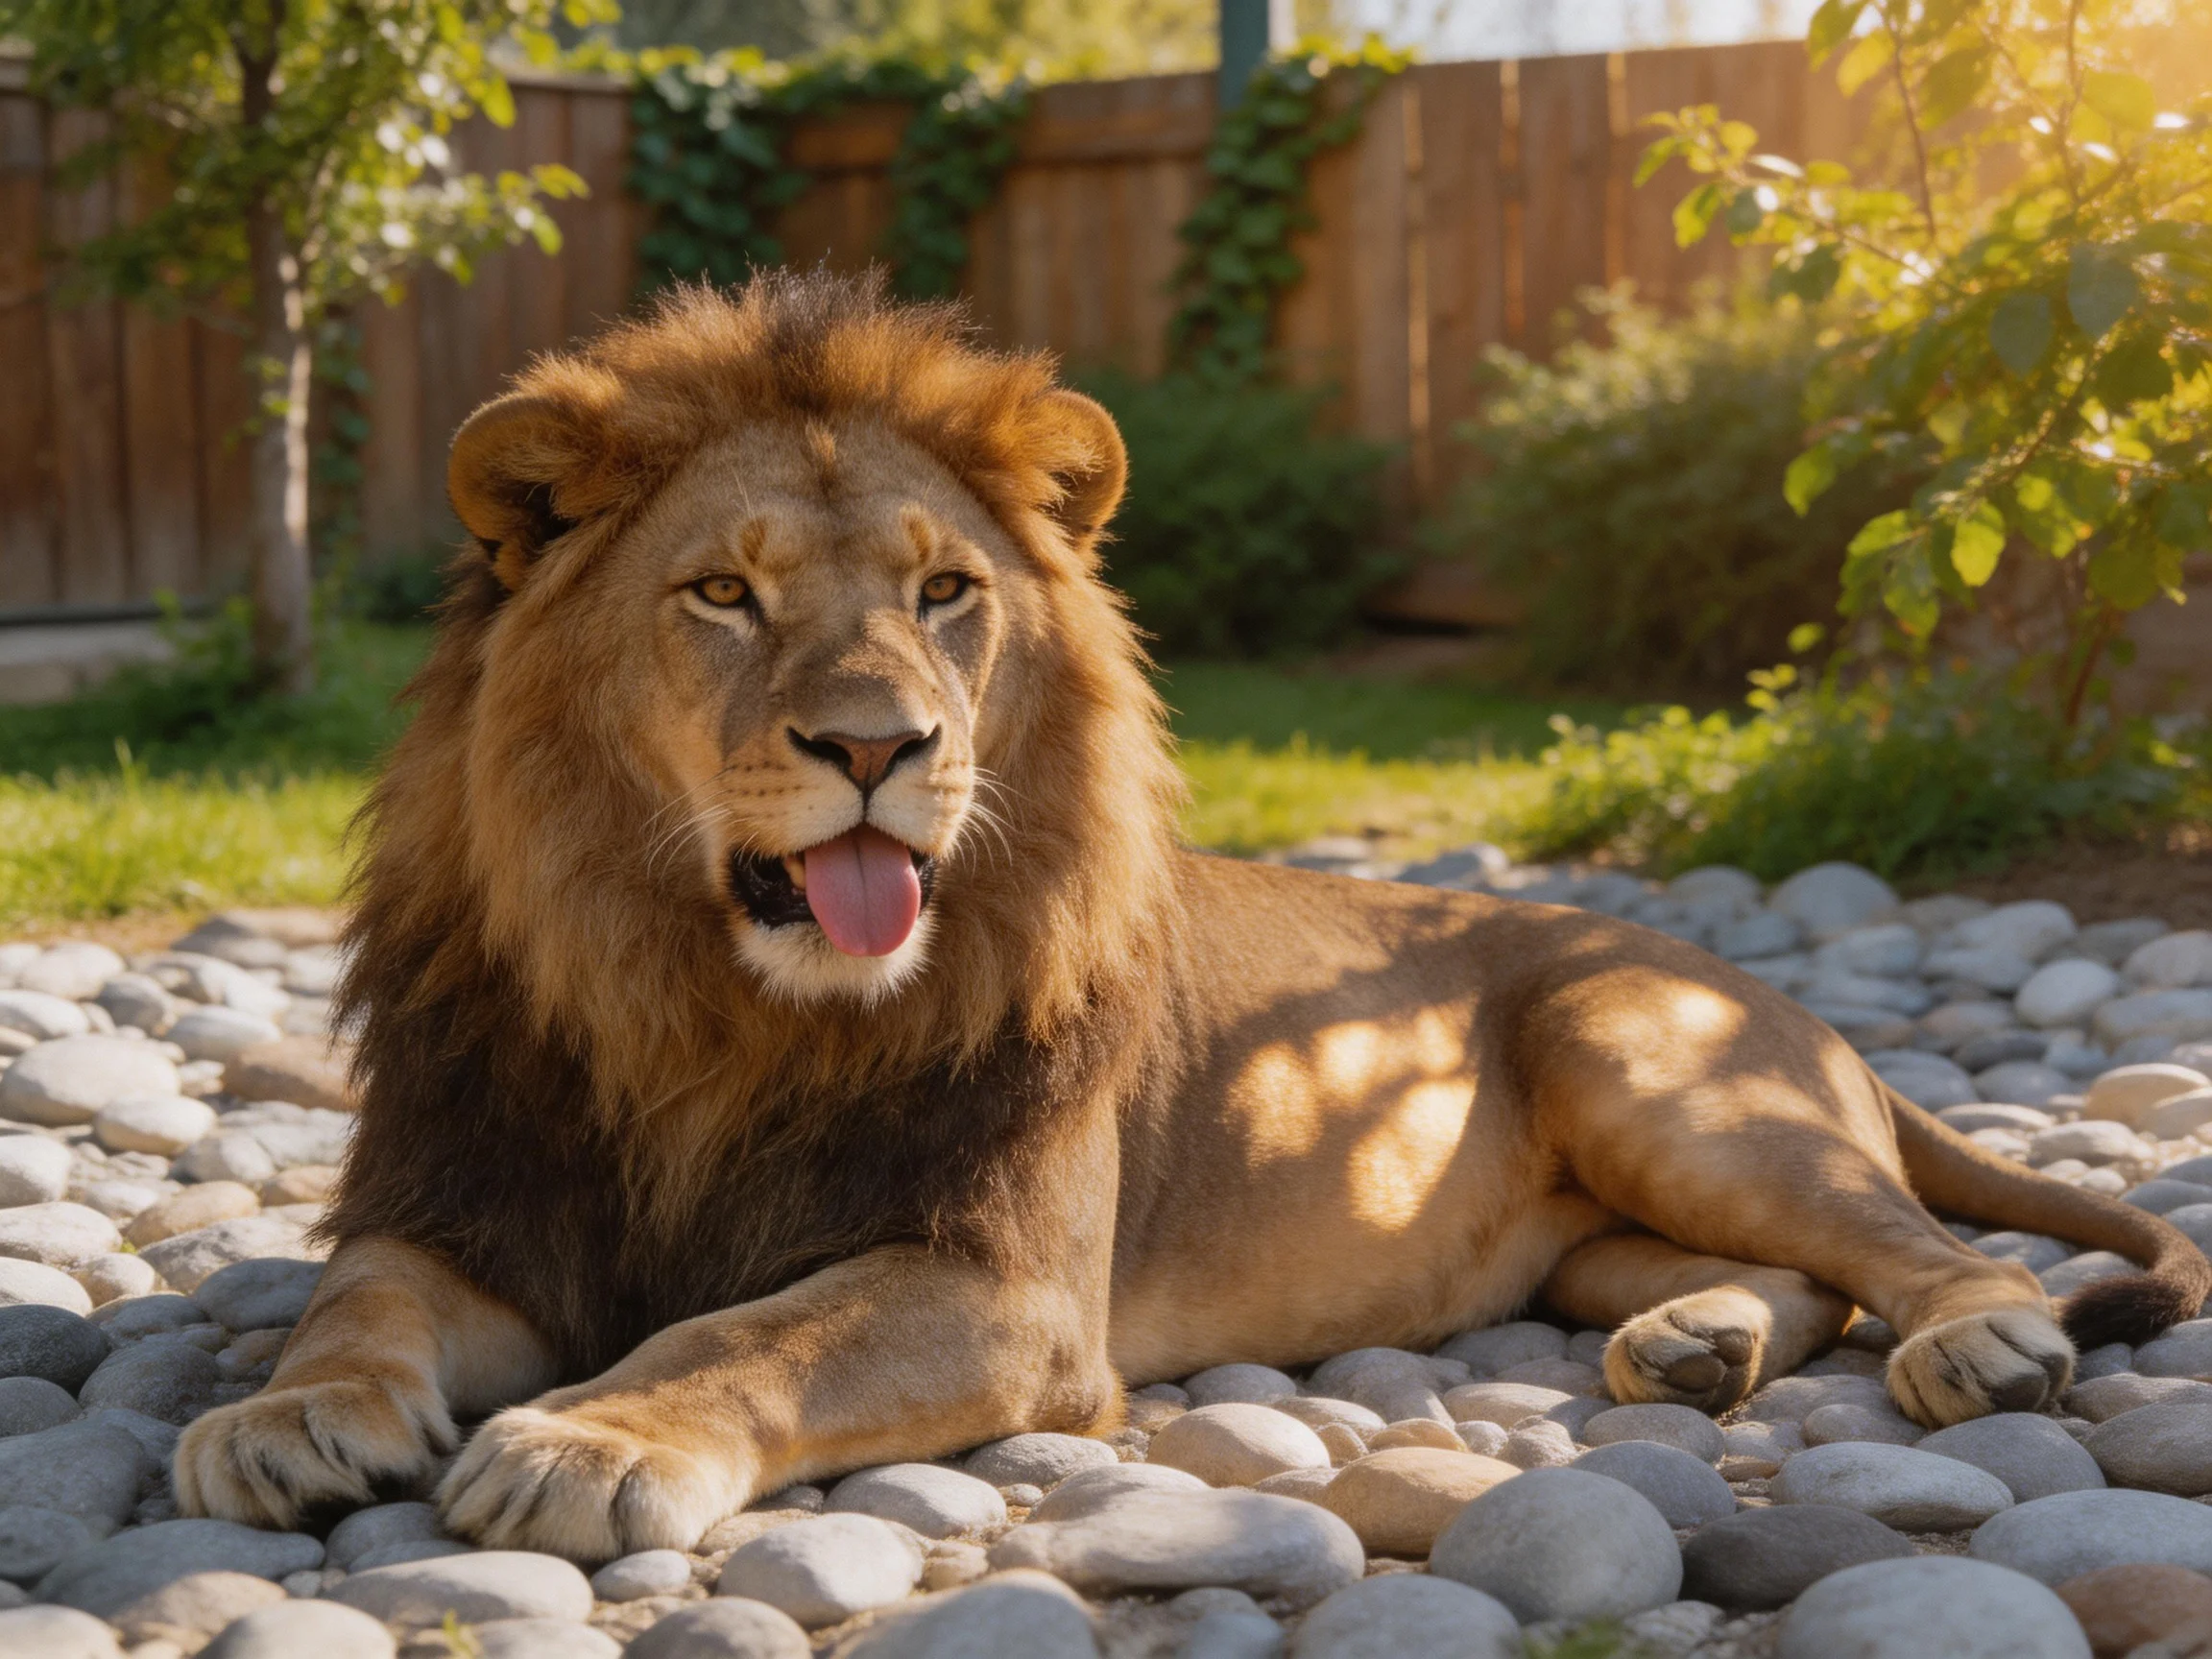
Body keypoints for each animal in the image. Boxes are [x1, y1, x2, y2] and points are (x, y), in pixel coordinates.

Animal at [174, 271, 2208, 1561]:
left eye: (943, 592)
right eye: (720, 595)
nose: (877, 744)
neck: (707, 1006)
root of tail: (1761, 990)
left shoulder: (996, 1286)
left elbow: (738, 1338)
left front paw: (585, 1436)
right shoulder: (467, 1194)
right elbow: (352, 1298)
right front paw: (283, 1415)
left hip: (1652, 1068)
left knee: (1910, 1243)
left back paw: (1977, 1341)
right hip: (1594, 1226)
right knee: (1790, 1275)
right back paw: (1696, 1338)